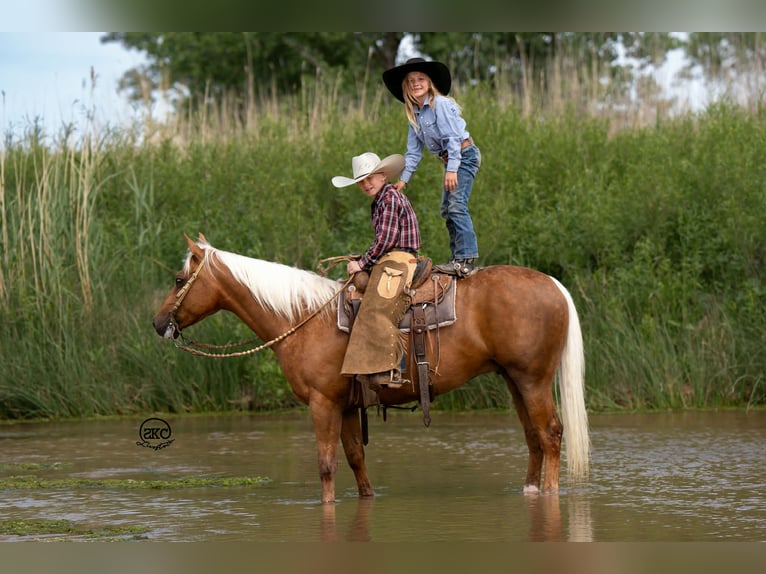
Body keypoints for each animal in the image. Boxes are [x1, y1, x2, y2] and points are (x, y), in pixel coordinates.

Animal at [153, 234, 590, 503]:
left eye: (178, 278)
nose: (158, 324)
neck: (304, 319)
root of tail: (554, 285)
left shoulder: (322, 404)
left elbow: (326, 466)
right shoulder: (347, 405)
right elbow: (355, 460)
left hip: (533, 380)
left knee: (551, 434)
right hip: (515, 380)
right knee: (533, 438)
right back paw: (530, 491)